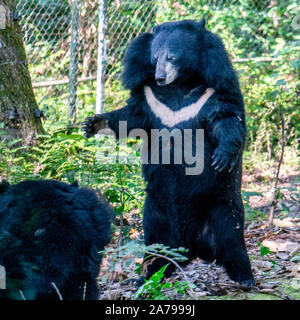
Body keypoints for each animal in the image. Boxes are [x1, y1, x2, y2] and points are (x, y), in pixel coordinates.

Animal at [82, 18, 255, 286]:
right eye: (154, 59)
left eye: (172, 57)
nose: (161, 77)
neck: (180, 85)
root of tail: (193, 249)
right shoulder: (150, 97)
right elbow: (132, 117)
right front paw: (92, 123)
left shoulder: (215, 89)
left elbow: (225, 118)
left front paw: (222, 156)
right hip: (156, 208)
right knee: (156, 242)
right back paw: (148, 274)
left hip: (219, 201)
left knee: (231, 236)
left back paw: (244, 277)